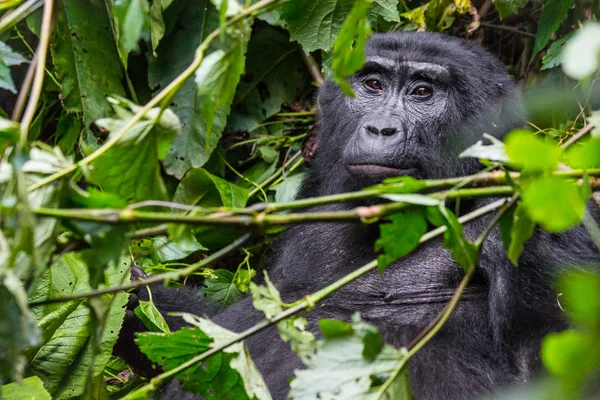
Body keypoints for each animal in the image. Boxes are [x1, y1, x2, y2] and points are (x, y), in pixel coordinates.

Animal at [117, 32, 600, 400]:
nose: (380, 128)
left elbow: (556, 361)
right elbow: (200, 332)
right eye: (372, 84)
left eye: (422, 92)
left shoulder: (541, 216)